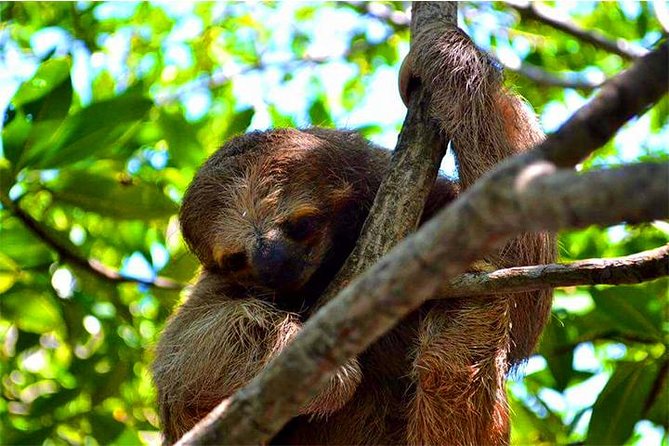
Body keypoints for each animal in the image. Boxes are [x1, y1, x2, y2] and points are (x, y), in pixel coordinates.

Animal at [153, 26, 555, 446]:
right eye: (235, 259)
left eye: (301, 225)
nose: (273, 262)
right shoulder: (213, 288)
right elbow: (180, 365)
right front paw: (314, 368)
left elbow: (520, 284)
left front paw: (447, 51)